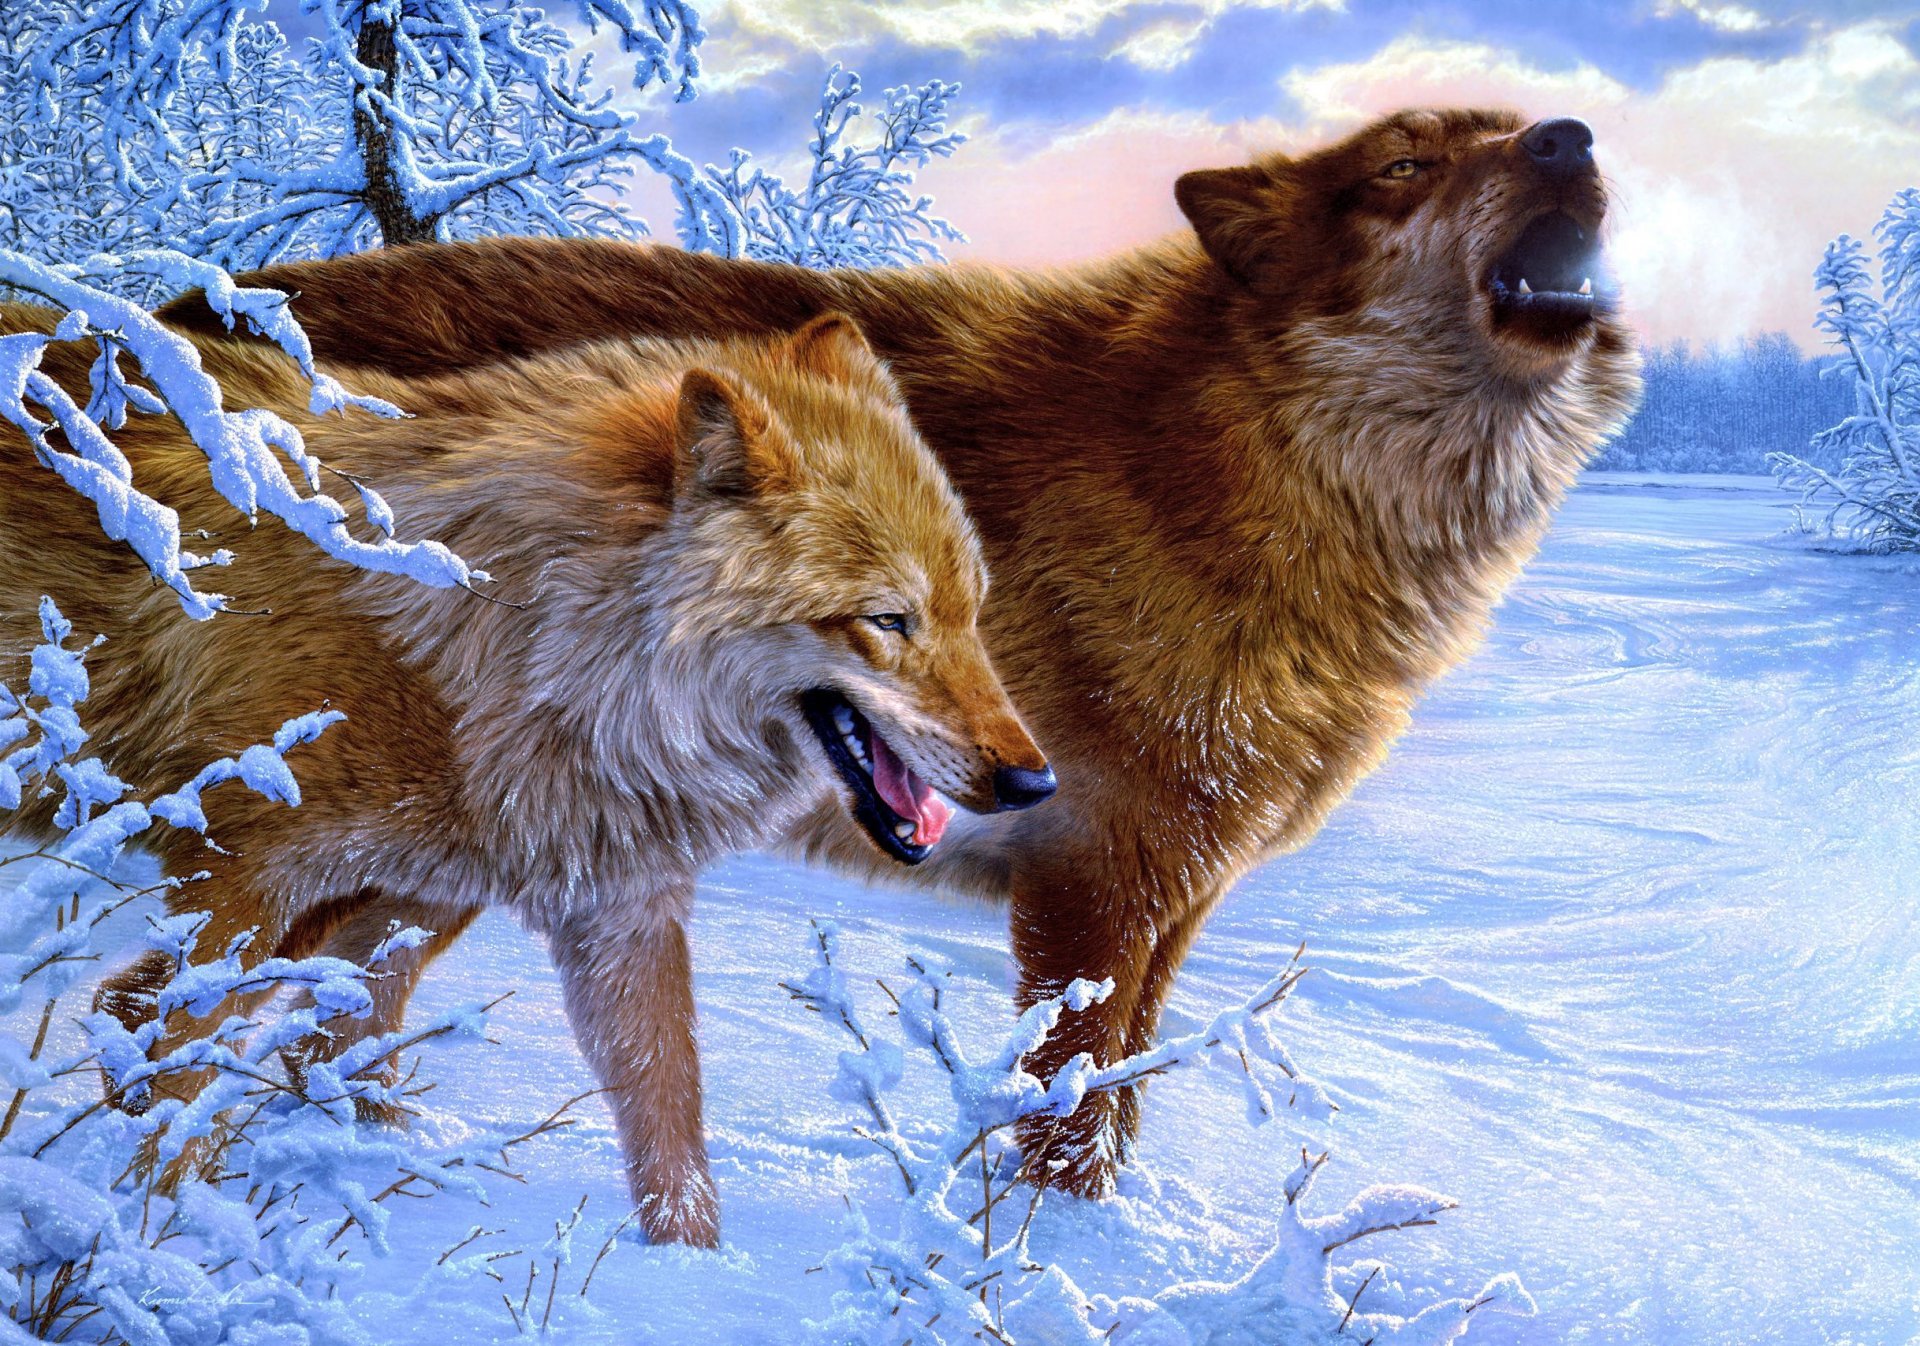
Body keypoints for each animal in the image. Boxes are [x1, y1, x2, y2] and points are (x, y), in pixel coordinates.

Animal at [0, 306, 1053, 1245]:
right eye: (889, 620)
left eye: (970, 612)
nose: (1034, 785)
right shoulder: (240, 881)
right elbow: (157, 1051)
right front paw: (149, 1238)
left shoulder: (595, 908)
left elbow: (668, 1125)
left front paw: (684, 1281)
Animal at [161, 108, 1643, 1195]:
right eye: (1405, 166)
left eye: (1509, 129)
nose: (1571, 135)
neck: (1255, 470)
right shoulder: (1095, 883)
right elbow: (1065, 1116)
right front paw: (1048, 1262)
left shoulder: (1181, 893)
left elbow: (1122, 1102)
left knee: (328, 1018)